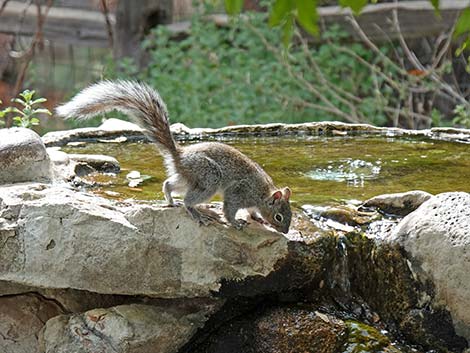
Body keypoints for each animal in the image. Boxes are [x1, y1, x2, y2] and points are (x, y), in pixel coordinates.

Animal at [57, 81, 292, 232]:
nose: (285, 232)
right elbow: (229, 209)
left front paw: (257, 219)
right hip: (209, 178)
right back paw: (196, 213)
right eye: (279, 216)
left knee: (169, 184)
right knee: (188, 199)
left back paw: (171, 201)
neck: (262, 193)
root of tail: (180, 155)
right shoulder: (239, 192)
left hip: (189, 178)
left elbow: (252, 212)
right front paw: (236, 223)